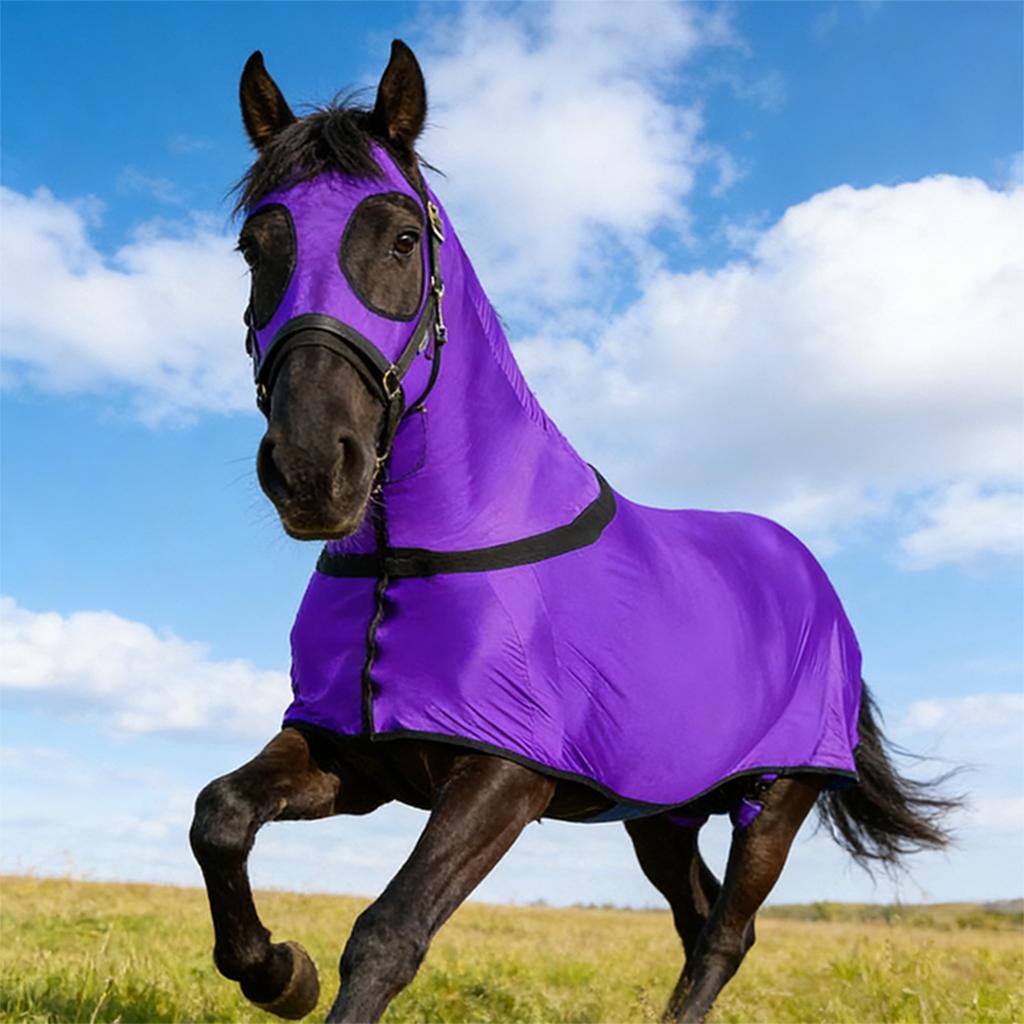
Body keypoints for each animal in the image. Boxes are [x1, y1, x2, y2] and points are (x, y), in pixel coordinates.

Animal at [189, 41, 957, 1024]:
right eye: (256, 247)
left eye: (401, 238)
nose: (315, 468)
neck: (417, 553)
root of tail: (813, 580)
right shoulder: (352, 758)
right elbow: (219, 815)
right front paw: (279, 971)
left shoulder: (504, 778)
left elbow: (389, 933)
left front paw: (300, 970)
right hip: (663, 812)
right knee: (700, 920)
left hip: (777, 800)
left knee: (728, 932)